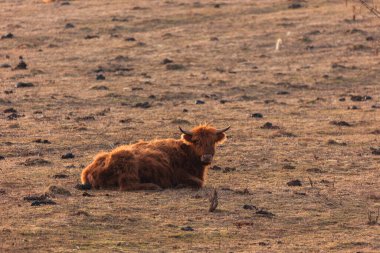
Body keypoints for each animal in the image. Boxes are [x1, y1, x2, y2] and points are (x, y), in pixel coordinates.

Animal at [80, 124, 229, 190]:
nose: (207, 157)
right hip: (129, 166)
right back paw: (154, 186)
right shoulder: (178, 174)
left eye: (213, 141)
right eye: (196, 141)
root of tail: (89, 171)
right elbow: (198, 182)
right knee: (127, 185)